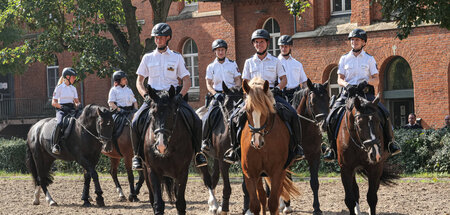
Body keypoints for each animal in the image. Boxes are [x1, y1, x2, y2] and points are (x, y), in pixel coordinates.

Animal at [142, 85, 195, 214]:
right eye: (153, 114)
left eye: (171, 113)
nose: (161, 146)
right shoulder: (153, 171)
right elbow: (158, 204)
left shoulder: (182, 172)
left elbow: (180, 204)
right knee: (152, 198)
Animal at [196, 82, 243, 213]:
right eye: (226, 105)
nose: (235, 121)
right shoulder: (223, 161)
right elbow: (227, 187)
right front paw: (224, 209)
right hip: (202, 155)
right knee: (207, 179)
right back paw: (214, 205)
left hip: (216, 157)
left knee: (214, 177)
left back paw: (213, 204)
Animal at [241, 77, 300, 215]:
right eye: (248, 110)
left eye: (265, 110)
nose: (257, 142)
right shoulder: (250, 174)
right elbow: (256, 204)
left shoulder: (277, 172)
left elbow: (273, 203)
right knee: (262, 197)